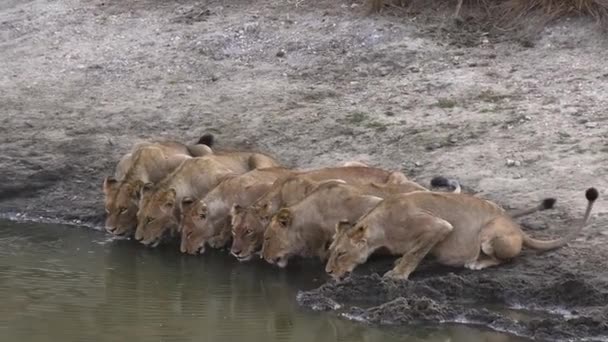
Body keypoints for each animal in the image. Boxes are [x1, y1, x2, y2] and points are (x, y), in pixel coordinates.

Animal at [134, 151, 282, 247]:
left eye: (150, 219)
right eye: (138, 217)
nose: (138, 239)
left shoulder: (228, 180)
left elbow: (229, 214)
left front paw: (219, 240)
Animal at [326, 187, 596, 280]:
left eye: (340, 254)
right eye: (331, 251)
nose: (327, 272)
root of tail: (517, 227)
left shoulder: (439, 226)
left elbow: (415, 253)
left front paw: (398, 274)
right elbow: (412, 251)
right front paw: (397, 263)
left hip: (490, 232)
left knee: (505, 259)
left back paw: (476, 263)